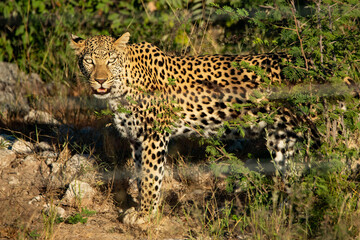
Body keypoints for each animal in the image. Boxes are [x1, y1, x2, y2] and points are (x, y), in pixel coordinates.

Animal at [70, 32, 320, 225]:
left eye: (111, 60)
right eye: (89, 61)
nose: (100, 80)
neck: (122, 88)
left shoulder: (154, 136)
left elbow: (151, 177)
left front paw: (145, 215)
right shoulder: (137, 139)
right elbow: (141, 177)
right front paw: (142, 210)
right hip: (282, 138)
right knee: (292, 174)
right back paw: (285, 213)